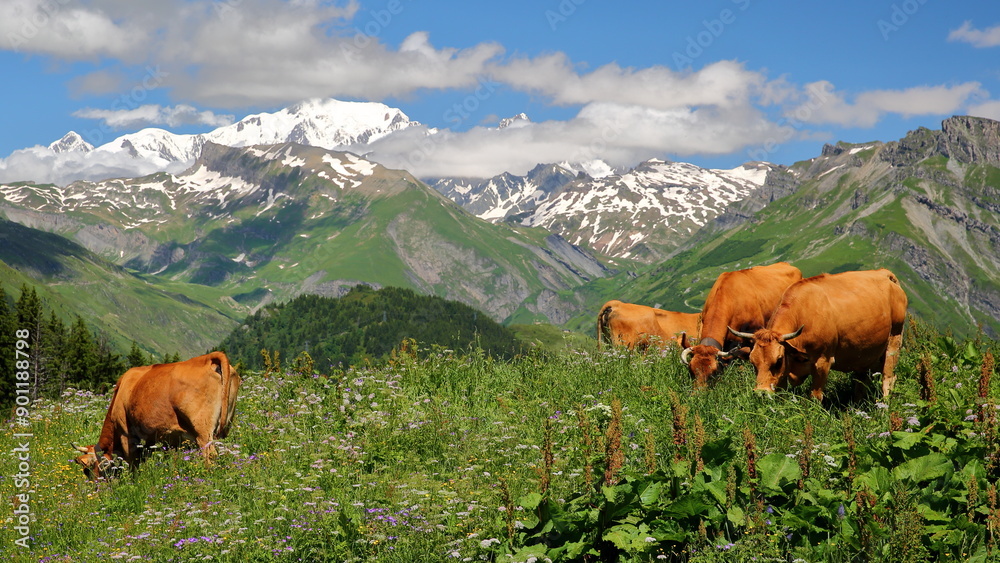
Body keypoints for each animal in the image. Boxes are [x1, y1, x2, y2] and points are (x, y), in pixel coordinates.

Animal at [72, 351, 240, 480]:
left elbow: (133, 462)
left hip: (203, 431)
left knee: (209, 455)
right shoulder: (169, 438)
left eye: (88, 471)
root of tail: (207, 358)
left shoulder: (126, 433)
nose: (97, 489)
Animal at [728, 268, 907, 403]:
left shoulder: (823, 361)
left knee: (888, 378)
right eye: (753, 362)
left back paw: (884, 408)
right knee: (860, 383)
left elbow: (815, 396)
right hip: (863, 353)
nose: (761, 393)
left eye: (778, 361)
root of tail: (884, 273)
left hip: (894, 339)